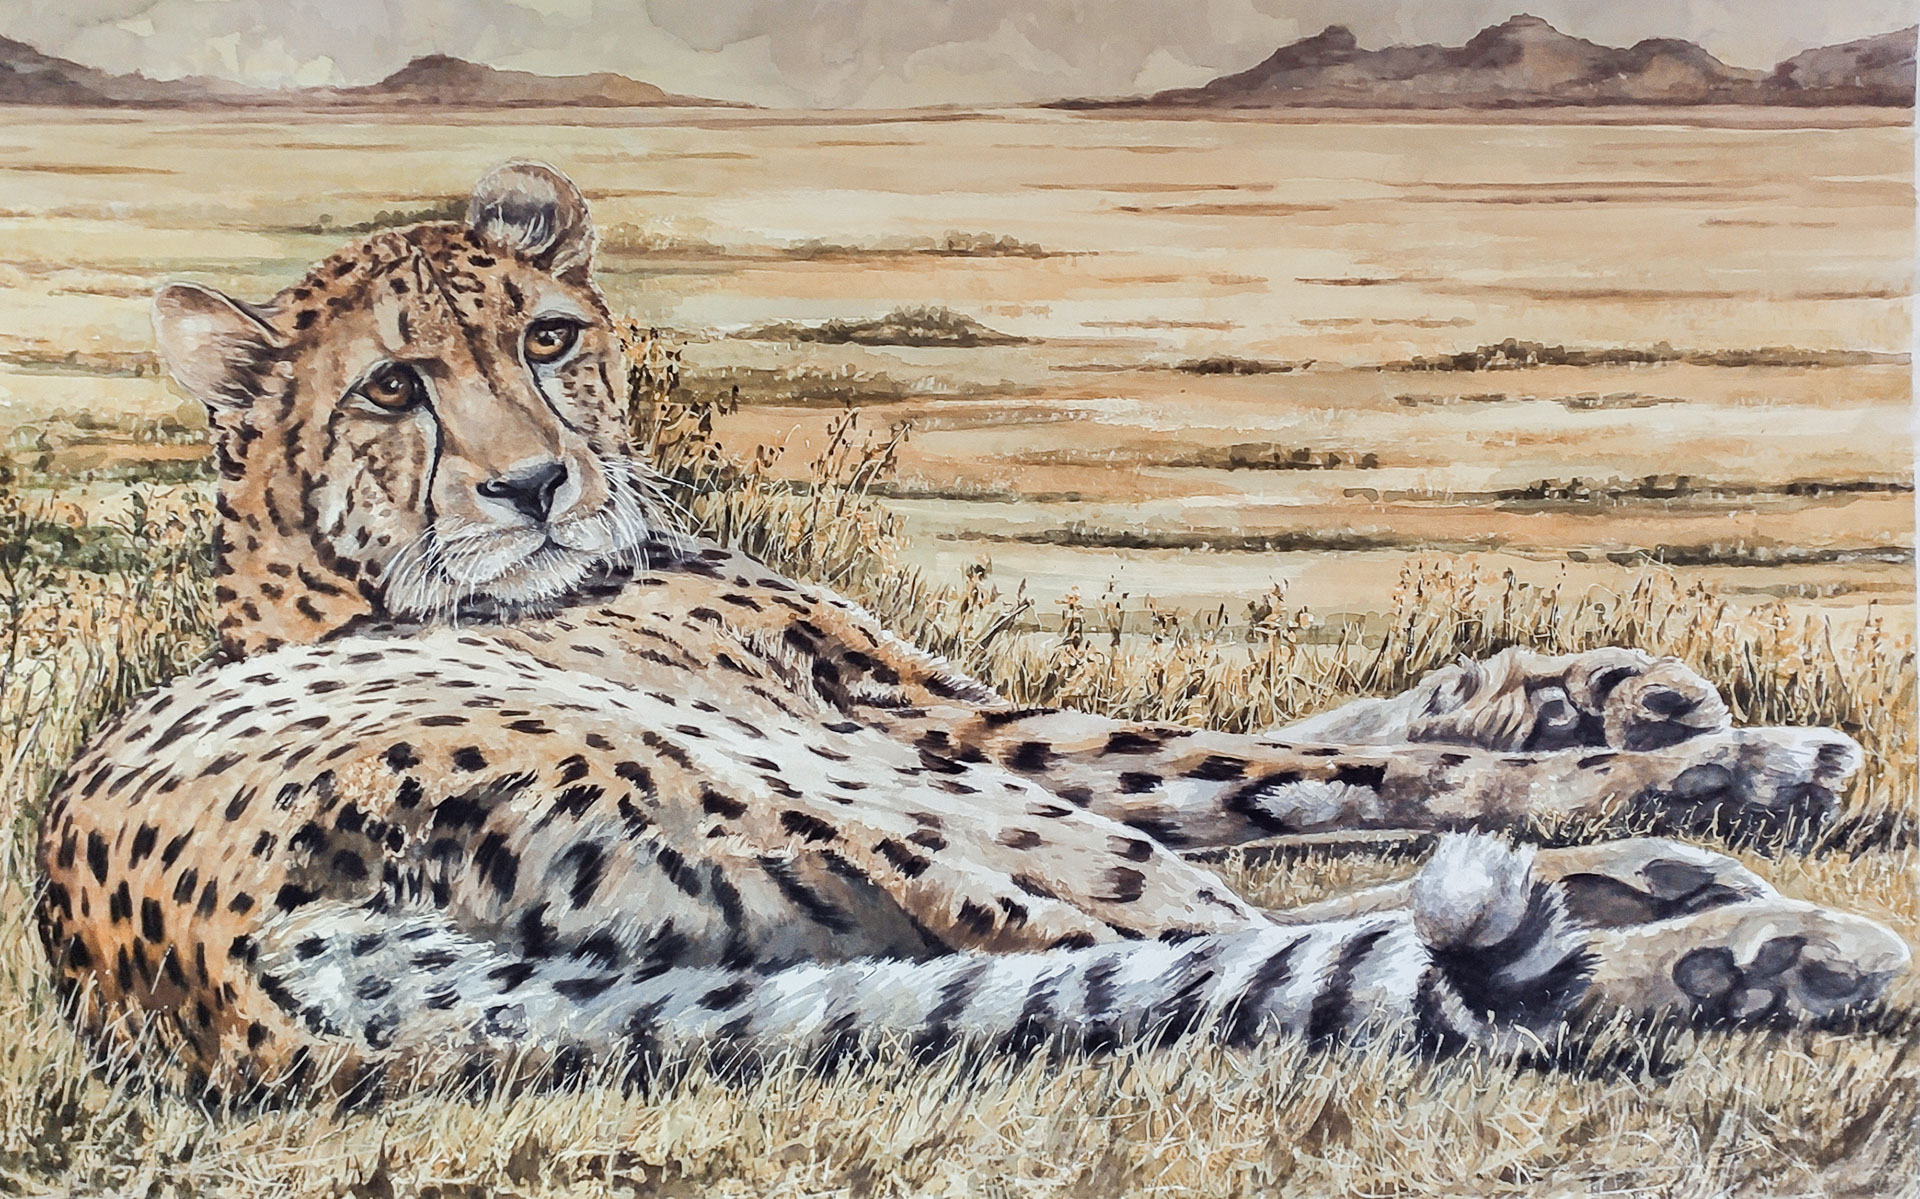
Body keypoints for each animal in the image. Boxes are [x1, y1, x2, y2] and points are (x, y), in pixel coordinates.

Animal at [35, 161, 1908, 1101]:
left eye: (551, 336)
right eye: (393, 389)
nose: (535, 483)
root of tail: (185, 966)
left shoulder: (941, 707)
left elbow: (1356, 732)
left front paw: (1612, 687)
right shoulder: (947, 728)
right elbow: (1348, 772)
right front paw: (1741, 756)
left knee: (1182, 932)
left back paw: (1683, 899)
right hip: (834, 783)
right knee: (1237, 941)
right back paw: (1735, 937)